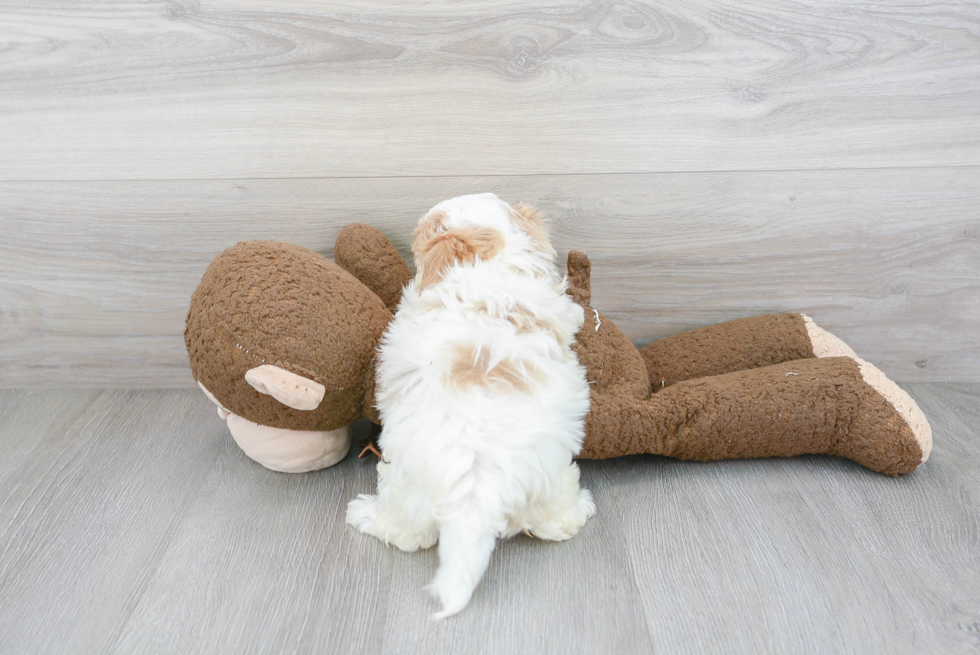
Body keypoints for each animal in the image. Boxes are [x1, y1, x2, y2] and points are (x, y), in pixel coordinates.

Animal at [348, 192, 592, 616]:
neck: (492, 261)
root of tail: (479, 485)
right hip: (553, 473)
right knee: (554, 520)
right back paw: (578, 510)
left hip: (402, 481)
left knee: (407, 532)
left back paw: (364, 514)